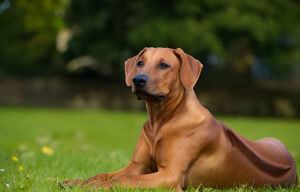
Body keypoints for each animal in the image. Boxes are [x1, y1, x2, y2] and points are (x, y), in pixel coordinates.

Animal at [63, 47, 298, 190]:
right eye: (140, 63)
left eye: (164, 65)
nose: (138, 80)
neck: (160, 121)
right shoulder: (137, 164)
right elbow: (105, 174)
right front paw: (78, 181)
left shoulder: (170, 175)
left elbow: (125, 179)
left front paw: (93, 186)